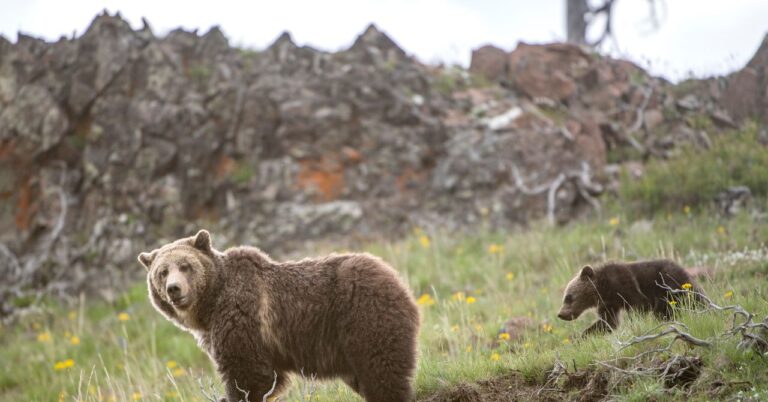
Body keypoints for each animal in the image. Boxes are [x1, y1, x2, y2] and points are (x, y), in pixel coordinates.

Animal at [138, 230, 420, 402]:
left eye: (185, 266)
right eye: (162, 272)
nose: (174, 289)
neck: (210, 305)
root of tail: (396, 279)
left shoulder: (242, 316)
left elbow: (247, 373)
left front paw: (232, 395)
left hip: (365, 316)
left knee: (382, 371)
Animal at [557, 259, 702, 335]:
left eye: (568, 297)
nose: (561, 314)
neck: (604, 289)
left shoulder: (626, 285)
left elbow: (640, 305)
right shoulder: (609, 303)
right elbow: (608, 322)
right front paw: (583, 335)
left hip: (669, 286)